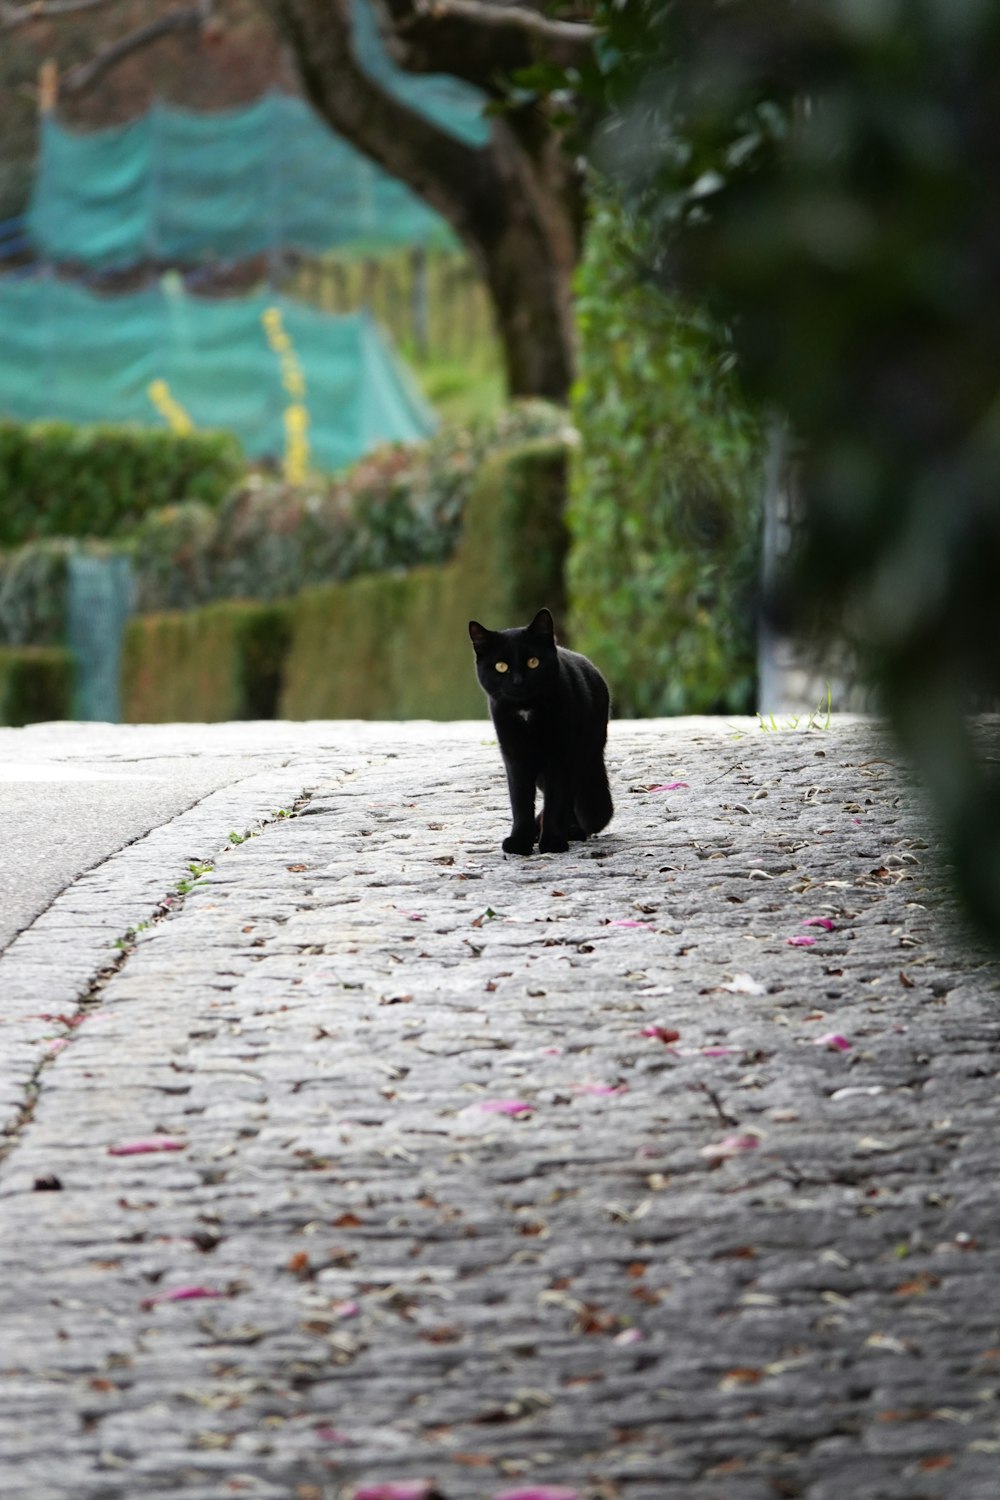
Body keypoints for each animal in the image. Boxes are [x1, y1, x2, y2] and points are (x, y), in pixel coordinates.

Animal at [467, 603, 611, 852]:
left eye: (533, 662)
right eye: (501, 667)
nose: (517, 681)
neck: (527, 711)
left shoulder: (560, 756)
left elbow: (556, 801)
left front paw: (552, 841)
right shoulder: (514, 757)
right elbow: (520, 801)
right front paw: (520, 841)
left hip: (583, 756)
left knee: (569, 798)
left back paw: (570, 830)